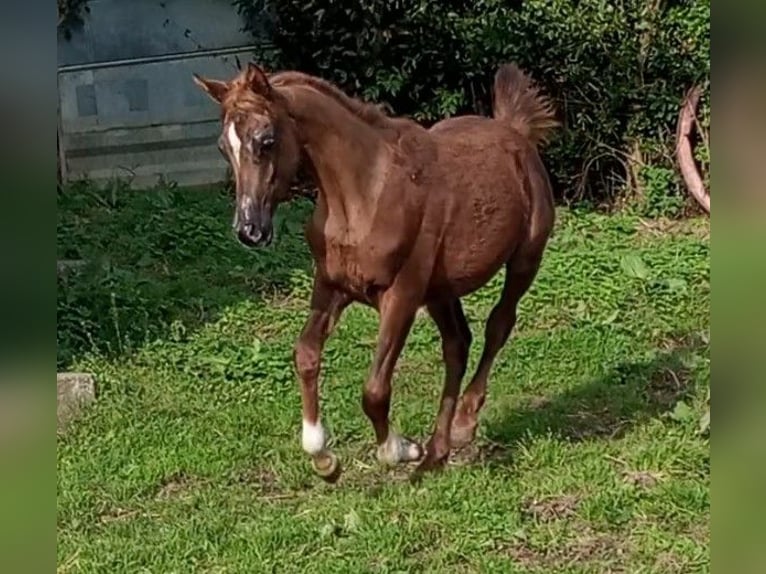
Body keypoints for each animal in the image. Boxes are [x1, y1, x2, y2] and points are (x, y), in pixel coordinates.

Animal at [194, 60, 560, 480]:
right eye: (224, 148)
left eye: (266, 140)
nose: (249, 229)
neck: (365, 195)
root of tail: (515, 131)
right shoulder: (331, 286)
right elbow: (305, 355)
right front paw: (323, 457)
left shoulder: (402, 295)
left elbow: (374, 390)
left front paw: (399, 449)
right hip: (441, 290)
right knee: (457, 344)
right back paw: (437, 453)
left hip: (524, 261)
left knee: (498, 325)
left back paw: (463, 426)